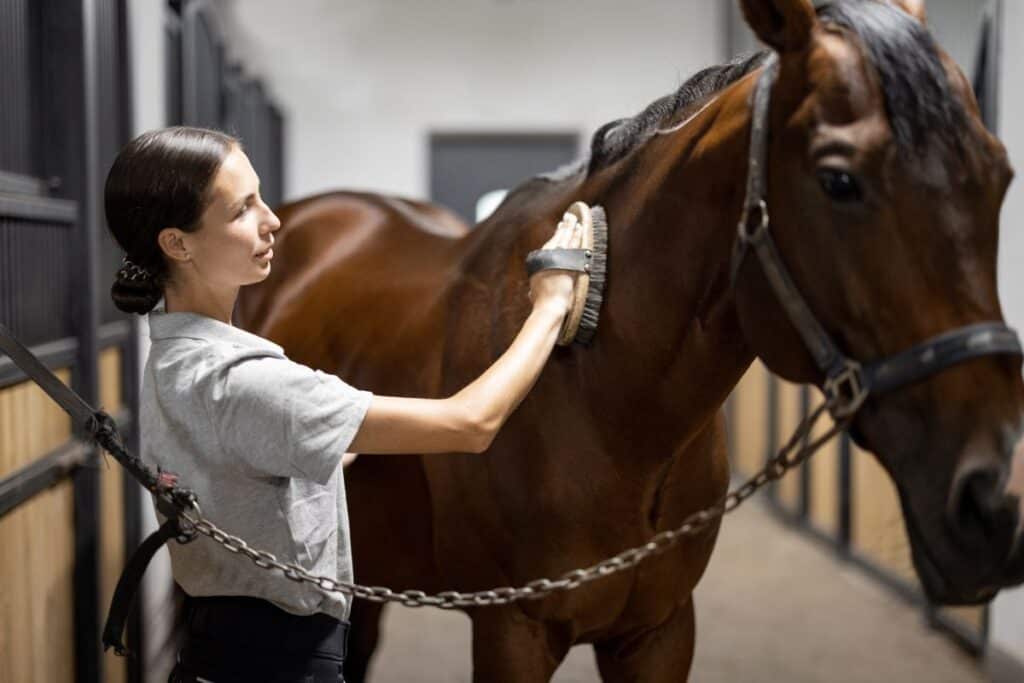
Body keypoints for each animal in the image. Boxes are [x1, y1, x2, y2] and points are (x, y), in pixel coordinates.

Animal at [235, 2, 1024, 679]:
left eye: (1000, 175)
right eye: (839, 180)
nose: (995, 503)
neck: (604, 403)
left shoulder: (661, 631)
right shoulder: (512, 630)